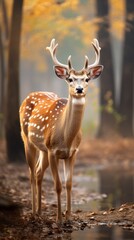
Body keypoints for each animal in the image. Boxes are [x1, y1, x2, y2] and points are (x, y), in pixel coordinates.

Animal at [19, 38, 103, 223]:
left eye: (87, 79)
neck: (66, 137)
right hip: (27, 140)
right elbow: (57, 185)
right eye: (70, 79)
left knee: (38, 172)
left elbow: (69, 184)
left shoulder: (72, 152)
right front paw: (58, 219)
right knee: (30, 173)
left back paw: (40, 212)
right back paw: (33, 212)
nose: (79, 89)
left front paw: (69, 216)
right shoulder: (53, 150)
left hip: (43, 149)